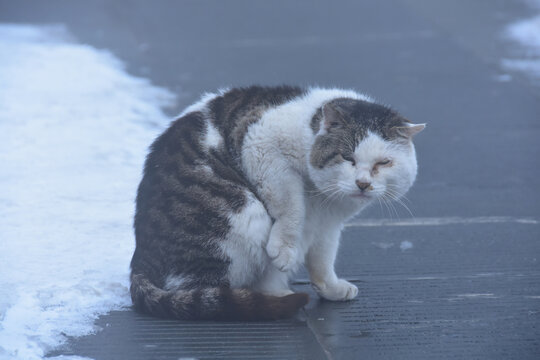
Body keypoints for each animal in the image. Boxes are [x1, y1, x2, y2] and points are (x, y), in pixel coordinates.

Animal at [129, 86, 424, 320]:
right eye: (347, 157)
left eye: (383, 163)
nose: (363, 183)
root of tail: (140, 260)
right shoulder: (261, 146)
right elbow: (291, 207)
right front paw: (284, 250)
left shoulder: (328, 226)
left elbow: (323, 259)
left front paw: (331, 288)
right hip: (244, 216)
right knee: (202, 292)